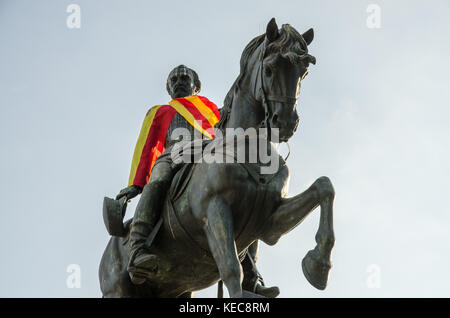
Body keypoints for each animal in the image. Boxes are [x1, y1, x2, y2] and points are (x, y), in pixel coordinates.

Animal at [99, 18, 338, 298]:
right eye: (269, 68)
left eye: (304, 72)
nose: (286, 123)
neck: (251, 152)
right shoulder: (215, 211)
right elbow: (232, 271)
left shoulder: (270, 222)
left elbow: (324, 187)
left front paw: (318, 266)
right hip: (118, 289)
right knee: (154, 186)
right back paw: (139, 253)